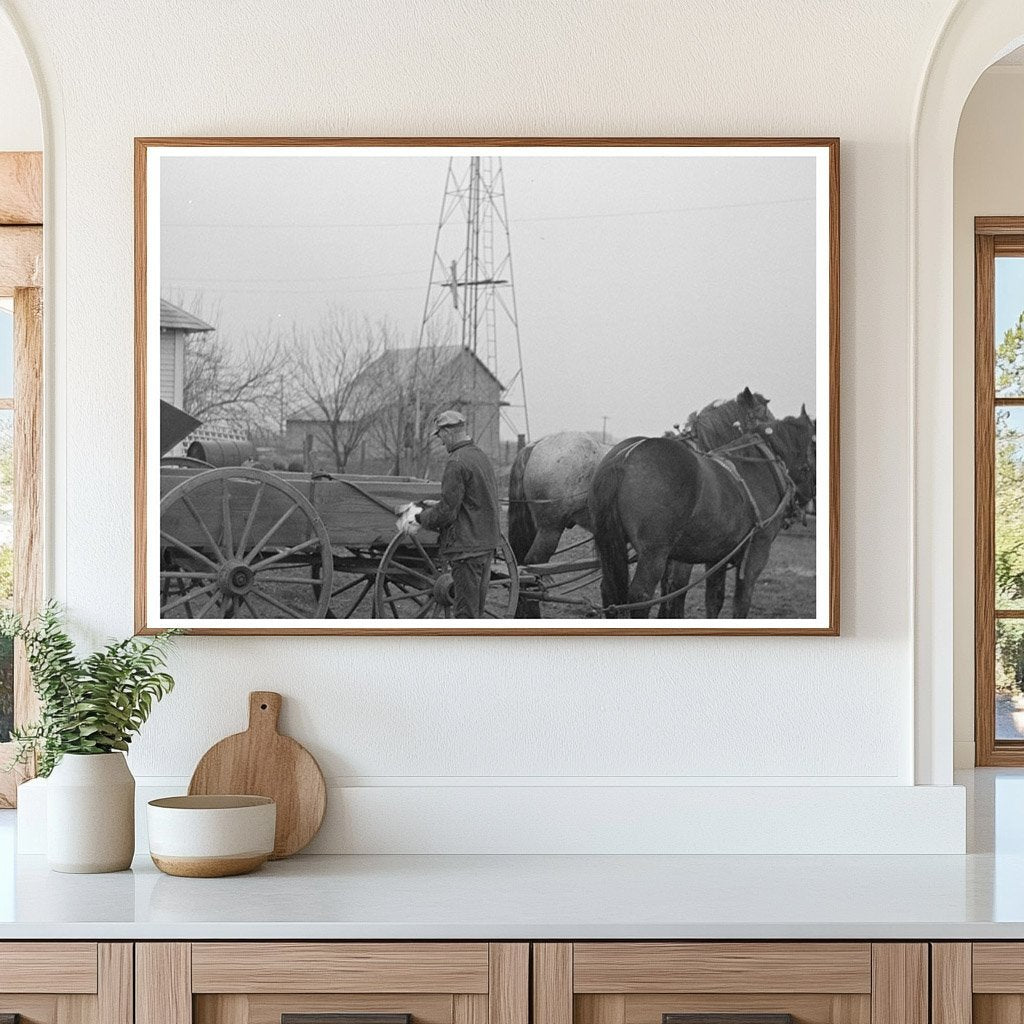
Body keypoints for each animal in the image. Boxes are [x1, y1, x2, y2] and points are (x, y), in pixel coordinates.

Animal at [585, 411, 815, 618]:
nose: (807, 500)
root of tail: (625, 457)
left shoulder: (718, 555)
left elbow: (714, 599)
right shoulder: (756, 552)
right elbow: (740, 603)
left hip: (611, 544)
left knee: (610, 592)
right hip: (653, 553)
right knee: (640, 598)